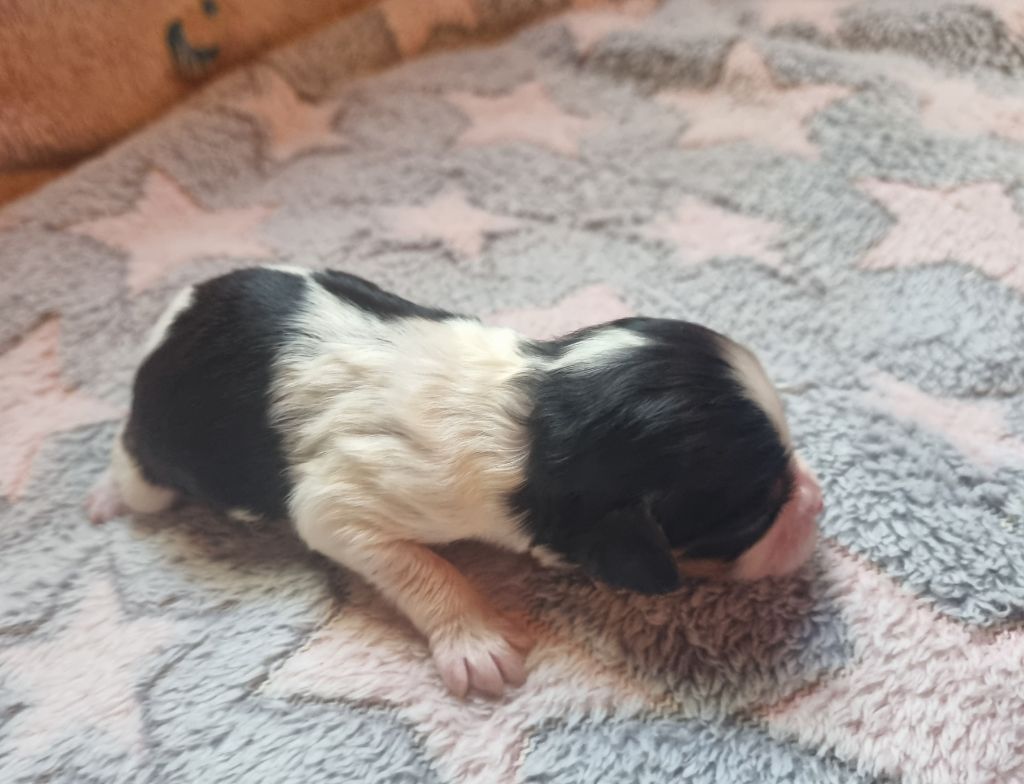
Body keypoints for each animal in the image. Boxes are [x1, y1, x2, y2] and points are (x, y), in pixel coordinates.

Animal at [88, 266, 824, 698]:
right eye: (754, 513)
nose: (817, 501)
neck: (532, 421)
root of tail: (176, 315)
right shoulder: (343, 502)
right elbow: (425, 569)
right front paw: (479, 646)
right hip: (163, 441)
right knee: (133, 460)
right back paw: (106, 498)